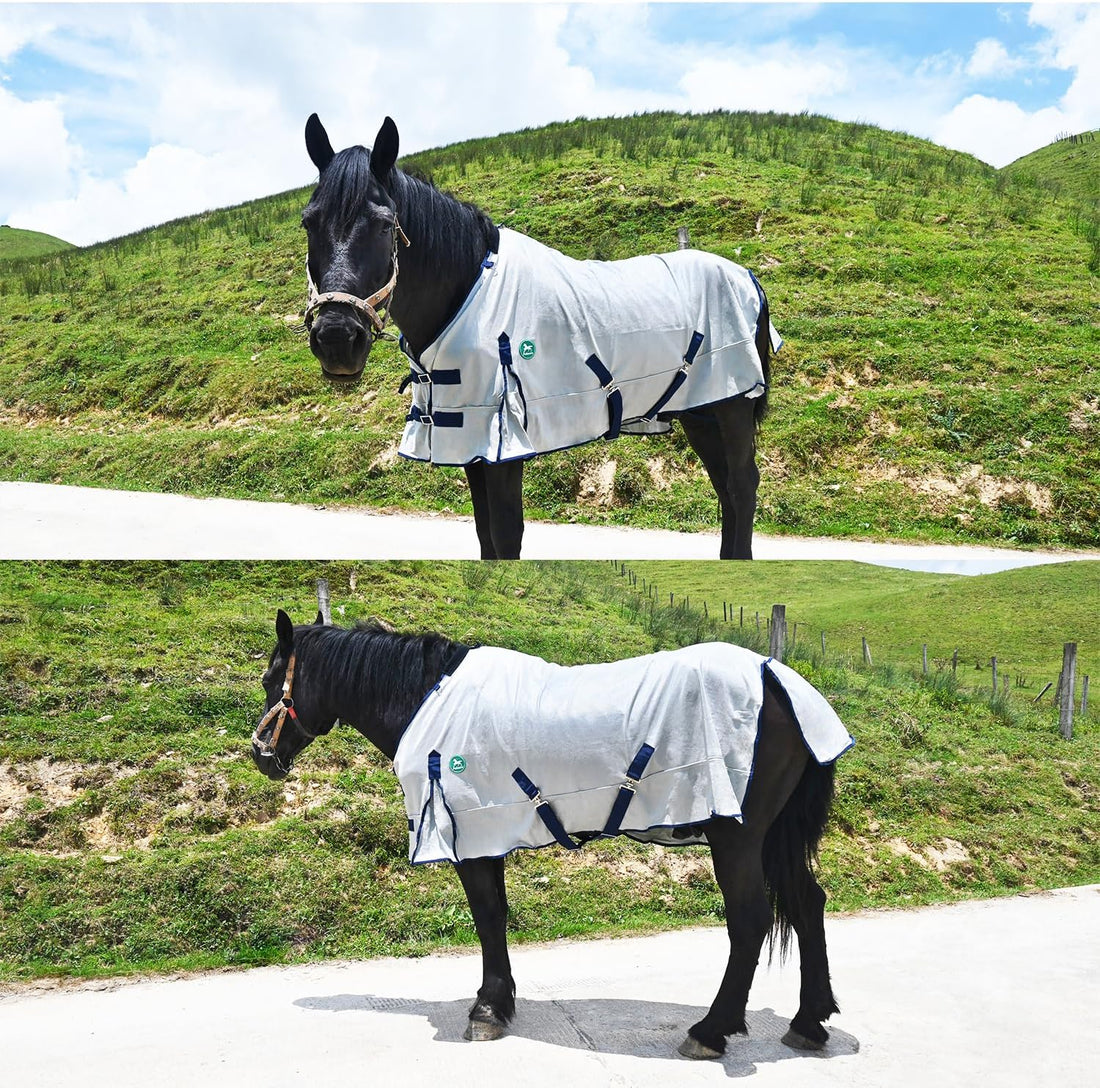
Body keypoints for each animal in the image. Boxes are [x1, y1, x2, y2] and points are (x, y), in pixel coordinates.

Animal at [250, 610, 850, 1058]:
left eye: (269, 681)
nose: (260, 756)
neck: (428, 699)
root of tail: (779, 678)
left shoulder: (473, 837)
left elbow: (488, 918)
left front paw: (488, 1009)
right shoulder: (487, 839)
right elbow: (497, 917)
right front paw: (501, 1003)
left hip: (737, 838)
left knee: (749, 920)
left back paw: (711, 1031)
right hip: (772, 839)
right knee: (808, 903)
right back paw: (808, 1022)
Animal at [300, 115, 777, 559]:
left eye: (384, 226)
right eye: (308, 223)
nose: (337, 338)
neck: (469, 292)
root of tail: (746, 276)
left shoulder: (501, 445)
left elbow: (506, 535)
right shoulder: (471, 445)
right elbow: (485, 535)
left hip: (732, 406)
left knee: (742, 485)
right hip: (701, 412)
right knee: (725, 488)